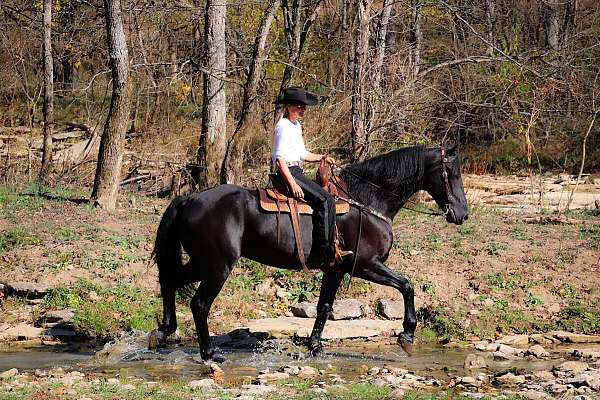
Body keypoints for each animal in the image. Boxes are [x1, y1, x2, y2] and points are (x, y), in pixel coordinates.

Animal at [149, 144, 468, 360]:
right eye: (452, 174)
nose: (462, 214)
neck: (367, 202)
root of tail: (189, 198)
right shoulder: (365, 265)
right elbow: (406, 285)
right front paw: (407, 333)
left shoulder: (336, 269)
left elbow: (324, 306)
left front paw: (315, 346)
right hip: (217, 266)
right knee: (199, 304)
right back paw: (208, 352)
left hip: (203, 262)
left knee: (170, 280)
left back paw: (163, 331)